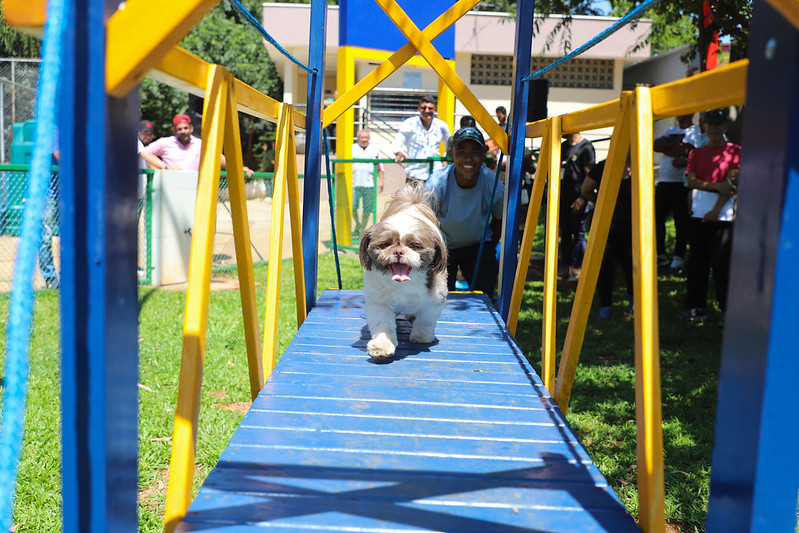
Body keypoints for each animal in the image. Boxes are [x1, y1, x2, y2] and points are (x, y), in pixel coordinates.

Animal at [360, 183, 450, 358]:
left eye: (414, 245)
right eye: (385, 244)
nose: (398, 251)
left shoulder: (435, 299)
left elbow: (426, 319)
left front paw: (421, 336)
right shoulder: (379, 302)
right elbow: (383, 324)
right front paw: (382, 346)